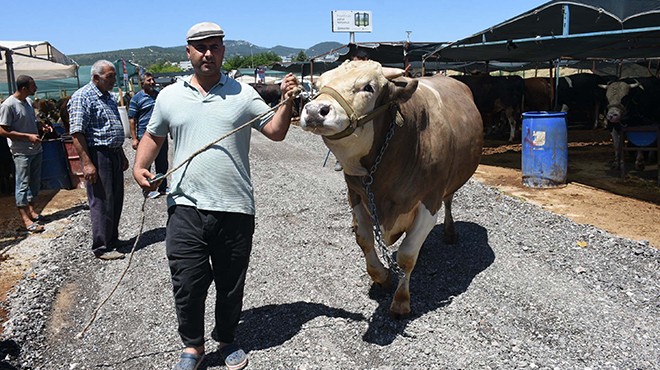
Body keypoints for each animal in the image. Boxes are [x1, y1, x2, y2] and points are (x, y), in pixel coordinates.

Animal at [300, 61, 484, 318]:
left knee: (448, 201)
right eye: (317, 86)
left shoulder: (429, 201)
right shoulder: (356, 195)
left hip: (448, 186)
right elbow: (364, 240)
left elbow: (407, 255)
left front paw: (401, 301)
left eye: (368, 87)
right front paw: (383, 278)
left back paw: (449, 232)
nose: (315, 111)